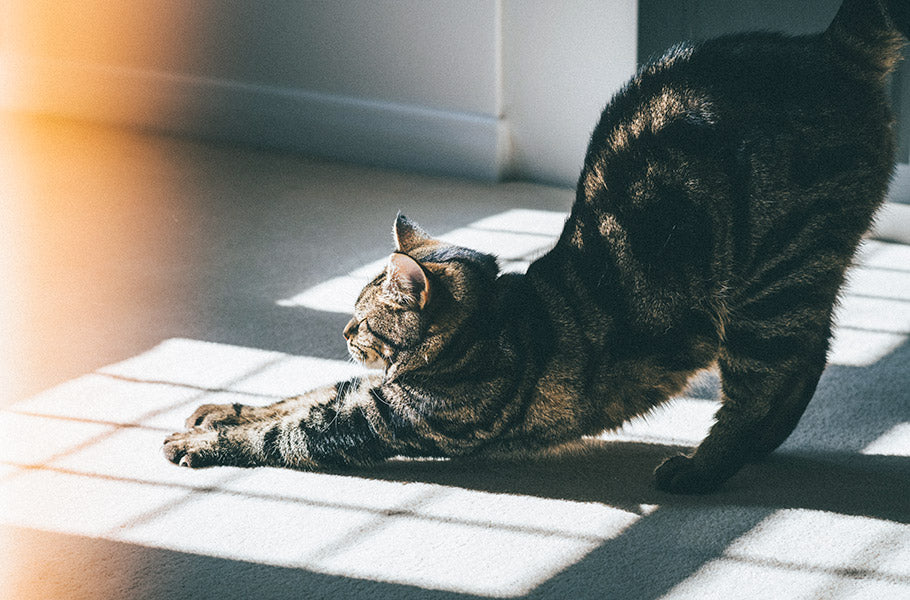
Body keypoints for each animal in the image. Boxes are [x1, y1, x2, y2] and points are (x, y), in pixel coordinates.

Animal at [166, 1, 910, 492]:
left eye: (363, 319)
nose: (343, 331)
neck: (486, 325)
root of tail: (827, 46)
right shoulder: (370, 393)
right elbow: (298, 396)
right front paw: (219, 407)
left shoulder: (384, 421)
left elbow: (287, 430)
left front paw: (201, 440)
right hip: (796, 281)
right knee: (809, 360)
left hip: (772, 285)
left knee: (771, 382)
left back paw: (702, 470)